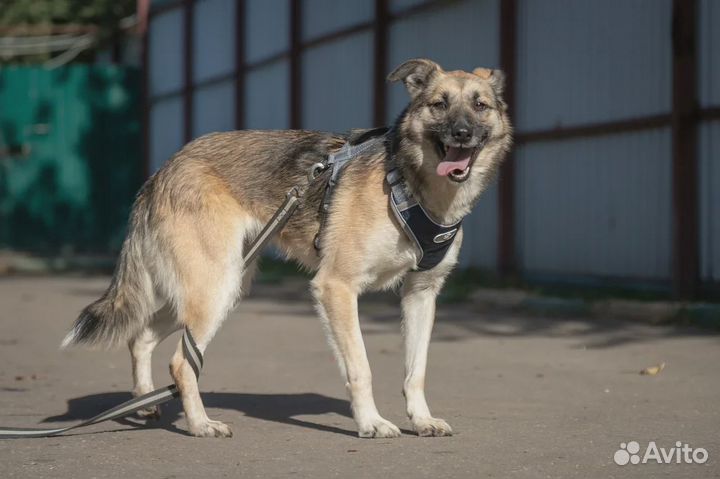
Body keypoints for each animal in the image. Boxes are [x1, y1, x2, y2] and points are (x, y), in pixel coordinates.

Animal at [62, 59, 512, 438]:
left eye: (481, 106)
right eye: (439, 104)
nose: (462, 133)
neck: (410, 184)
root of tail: (163, 170)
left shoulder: (420, 294)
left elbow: (414, 371)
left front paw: (420, 420)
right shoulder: (336, 287)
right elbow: (361, 367)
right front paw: (370, 422)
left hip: (221, 284)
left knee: (140, 337)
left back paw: (145, 404)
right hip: (215, 287)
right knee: (180, 361)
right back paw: (200, 424)